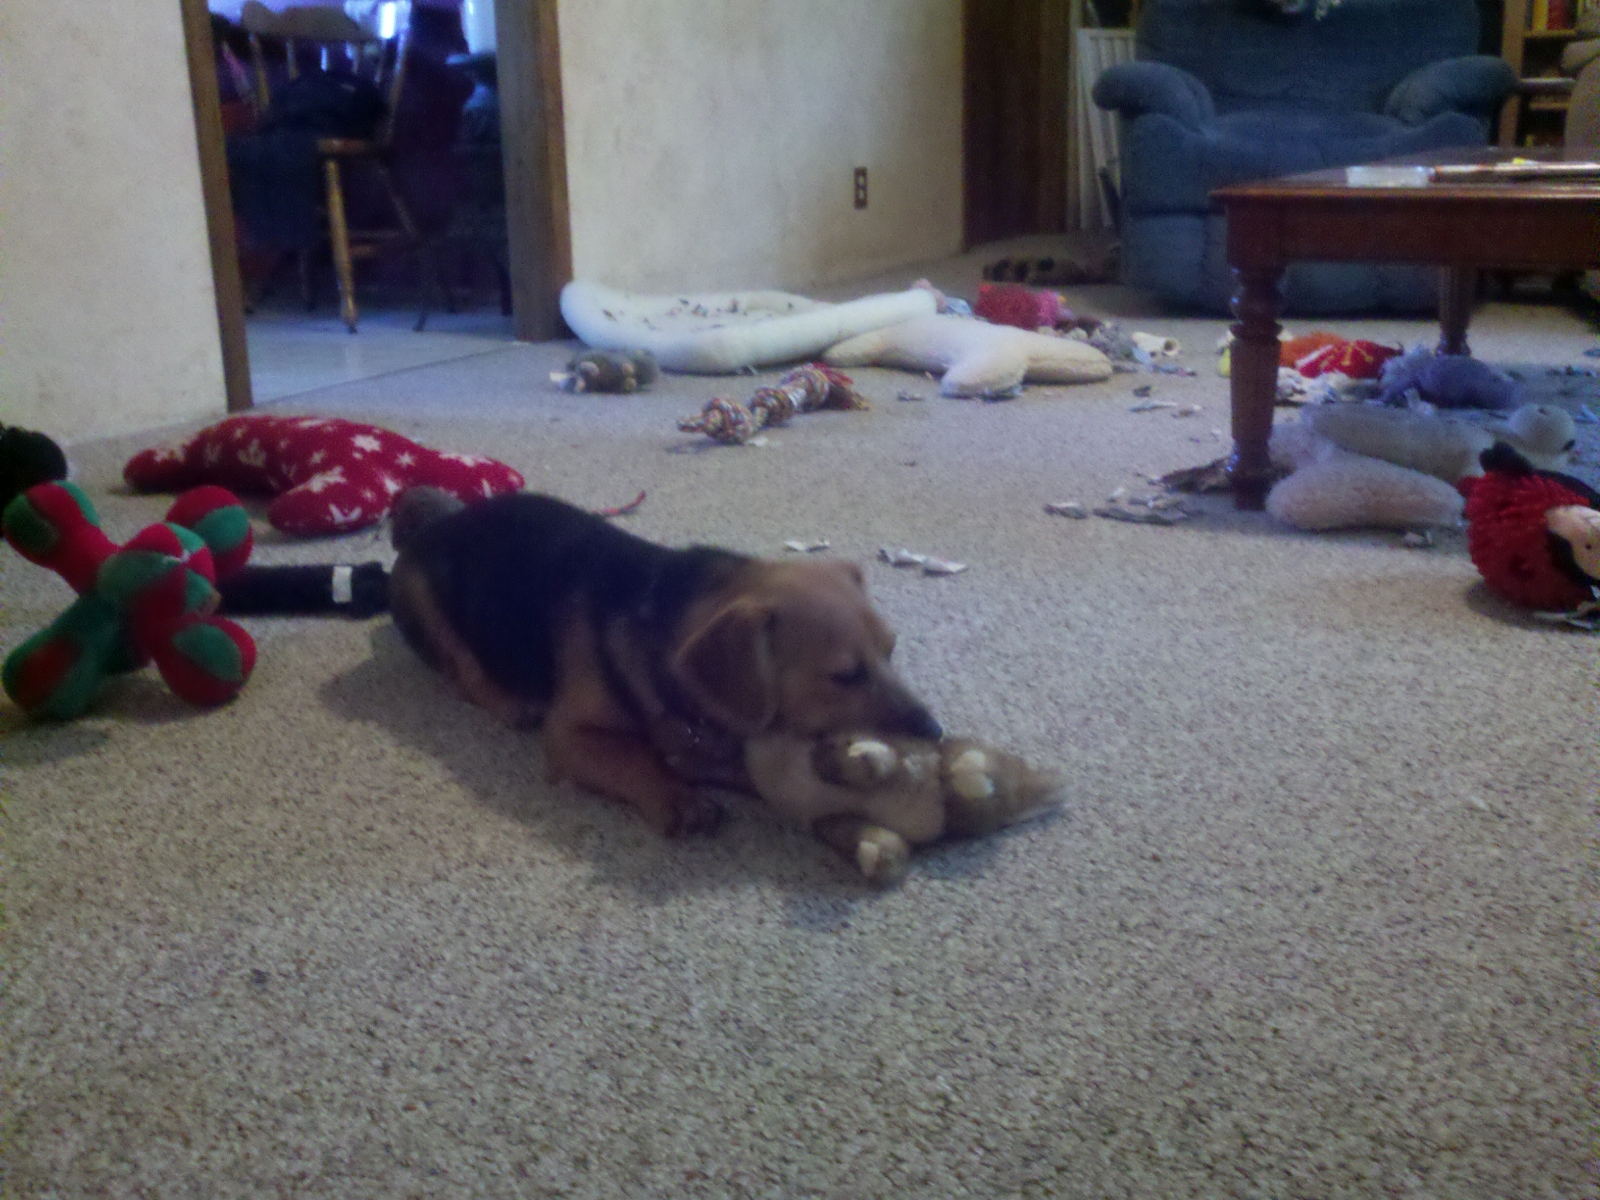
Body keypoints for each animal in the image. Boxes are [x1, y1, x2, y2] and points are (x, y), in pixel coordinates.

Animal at [388, 488, 941, 836]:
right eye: (844, 676)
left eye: (892, 651)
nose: (934, 732)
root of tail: (436, 522)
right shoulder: (569, 736)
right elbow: (632, 759)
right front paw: (678, 798)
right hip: (419, 599)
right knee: (460, 669)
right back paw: (506, 700)